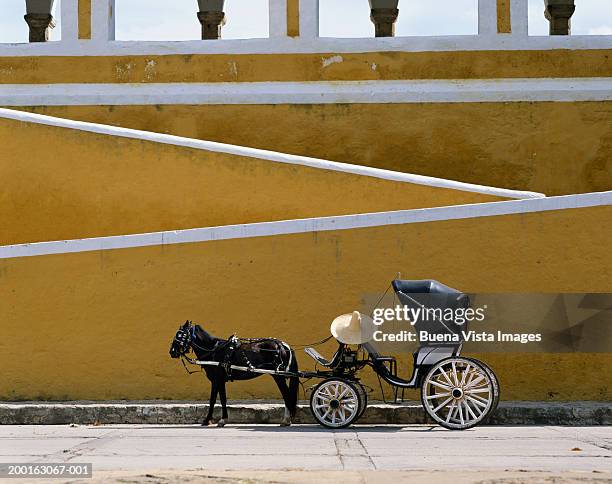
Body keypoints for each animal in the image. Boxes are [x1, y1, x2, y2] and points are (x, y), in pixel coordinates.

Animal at [170, 322, 298, 428]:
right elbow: (219, 399)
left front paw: (213, 420)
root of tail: (283, 345)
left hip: (278, 376)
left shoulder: (217, 379)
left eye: (181, 335)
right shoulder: (219, 380)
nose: (172, 352)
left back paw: (286, 420)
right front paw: (218, 419)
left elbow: (216, 400)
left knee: (286, 395)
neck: (214, 350)